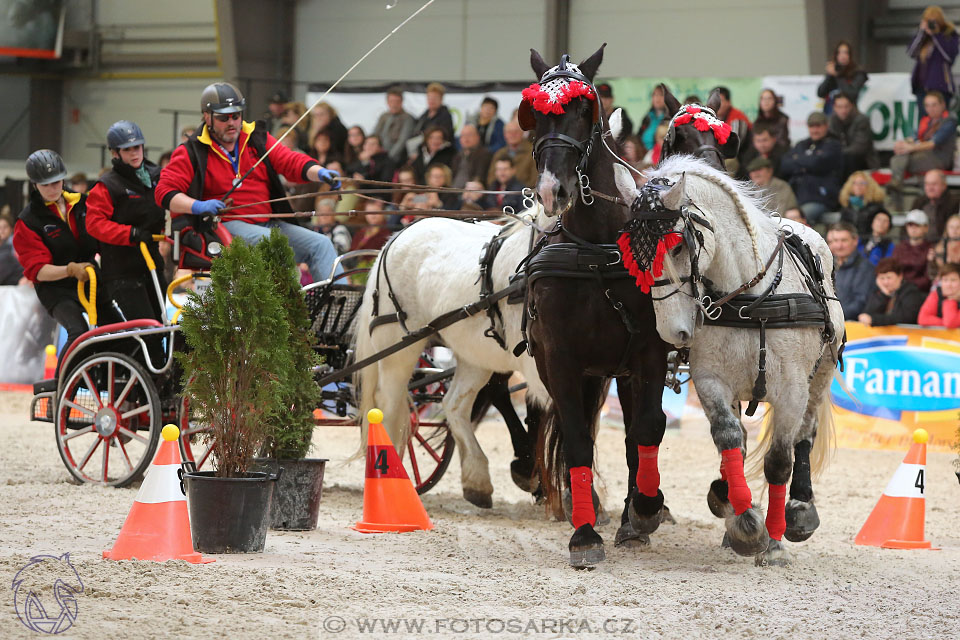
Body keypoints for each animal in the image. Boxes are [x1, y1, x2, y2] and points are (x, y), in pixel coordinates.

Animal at [352, 218, 548, 508]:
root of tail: (397, 237)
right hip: (398, 349)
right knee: (387, 405)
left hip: (475, 354)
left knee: (455, 404)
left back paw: (479, 481)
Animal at [520, 42, 672, 568]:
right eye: (534, 114)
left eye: (584, 109)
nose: (553, 190)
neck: (595, 251)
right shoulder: (561, 360)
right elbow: (578, 442)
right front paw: (584, 534)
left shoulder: (649, 352)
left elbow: (648, 428)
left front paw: (645, 508)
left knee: (636, 435)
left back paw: (636, 513)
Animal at [616, 155, 840, 564]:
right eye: (633, 257)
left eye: (677, 247)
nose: (673, 332)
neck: (752, 297)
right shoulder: (712, 382)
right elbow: (728, 437)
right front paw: (745, 523)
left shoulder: (792, 391)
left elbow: (779, 461)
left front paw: (773, 539)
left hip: (821, 376)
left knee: (805, 435)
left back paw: (799, 510)